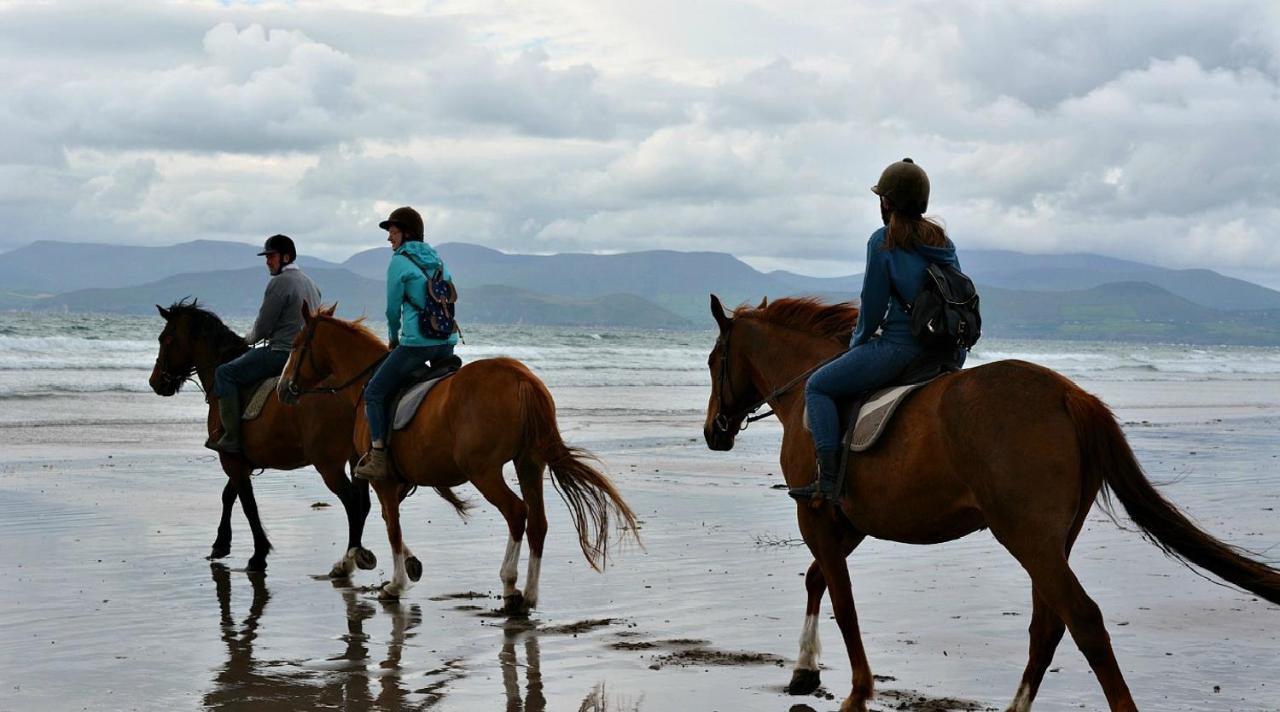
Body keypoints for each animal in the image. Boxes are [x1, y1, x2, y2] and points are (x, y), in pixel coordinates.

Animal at [150, 297, 376, 576]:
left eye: (165, 339)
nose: (155, 382)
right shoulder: (241, 461)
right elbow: (229, 496)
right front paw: (221, 544)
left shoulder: (231, 460)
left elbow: (248, 505)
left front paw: (258, 555)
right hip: (355, 458)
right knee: (363, 504)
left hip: (329, 464)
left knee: (352, 502)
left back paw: (347, 560)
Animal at [280, 306, 640, 612]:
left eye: (296, 345)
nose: (284, 389)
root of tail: (521, 377)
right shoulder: (400, 481)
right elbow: (387, 519)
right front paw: (407, 566)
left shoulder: (384, 479)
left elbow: (392, 526)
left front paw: (395, 585)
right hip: (529, 464)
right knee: (537, 521)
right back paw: (530, 594)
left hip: (484, 471)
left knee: (516, 512)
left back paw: (510, 585)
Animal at [701, 294, 1280, 712]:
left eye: (712, 362)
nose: (714, 432)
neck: (809, 390)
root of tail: (1069, 393)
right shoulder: (849, 522)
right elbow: (818, 579)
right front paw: (804, 670)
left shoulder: (816, 515)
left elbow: (842, 601)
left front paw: (856, 691)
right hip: (1051, 542)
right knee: (1049, 627)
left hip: (1026, 536)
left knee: (1083, 620)